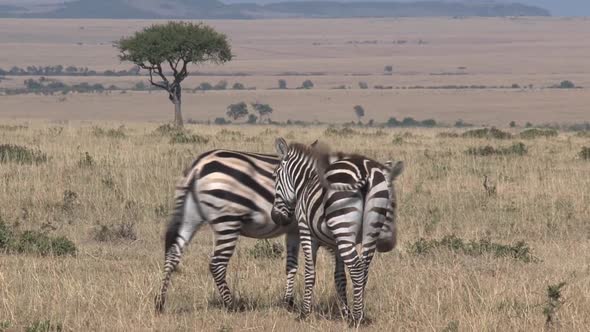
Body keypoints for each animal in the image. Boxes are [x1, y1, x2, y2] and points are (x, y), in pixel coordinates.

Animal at [270, 138, 404, 326]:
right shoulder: (336, 243)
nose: (276, 217)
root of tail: (364, 171)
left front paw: (304, 313)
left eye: (275, 176)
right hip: (369, 229)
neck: (306, 182)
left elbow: (310, 273)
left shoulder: (306, 231)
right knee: (364, 269)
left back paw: (357, 318)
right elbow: (340, 277)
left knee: (356, 268)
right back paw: (359, 313)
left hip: (343, 226)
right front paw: (345, 312)